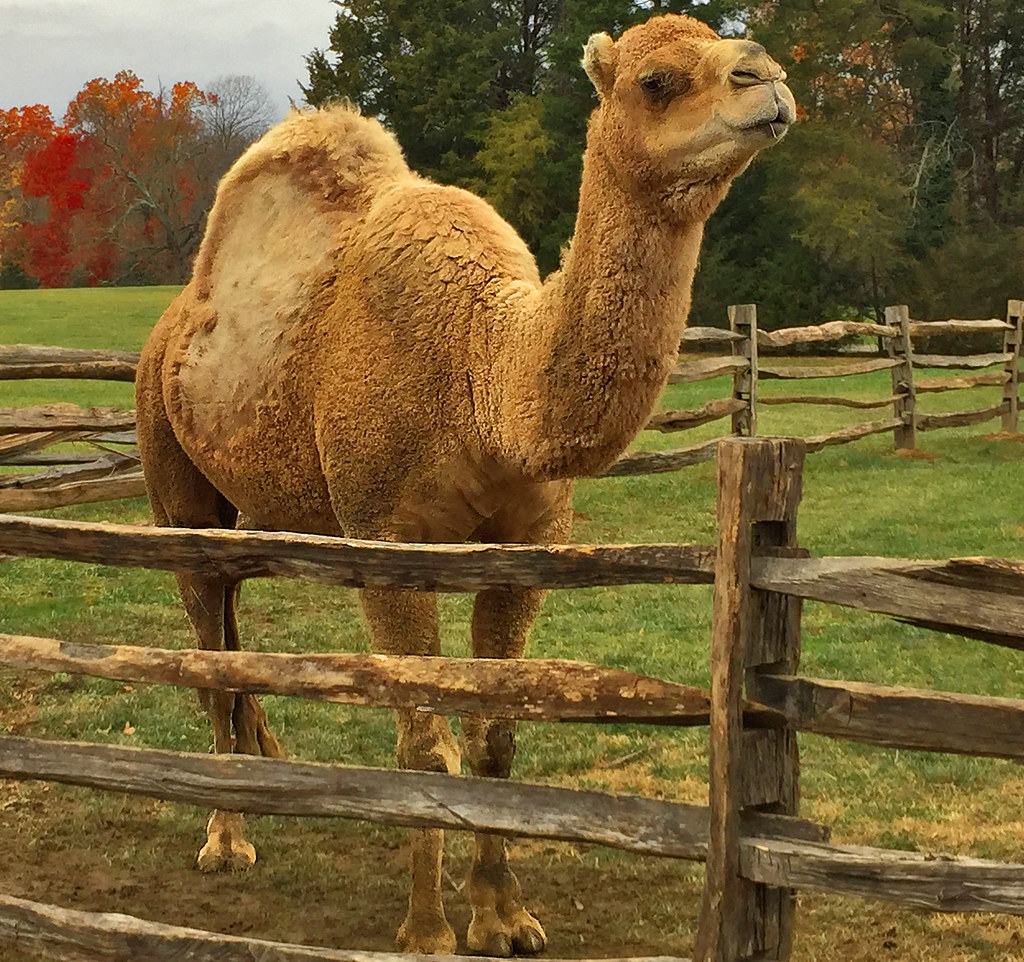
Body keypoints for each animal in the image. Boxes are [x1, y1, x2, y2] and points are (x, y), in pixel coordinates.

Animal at [135, 13, 795, 956]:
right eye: (657, 79)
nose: (765, 77)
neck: (485, 372)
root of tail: (172, 326)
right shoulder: (384, 541)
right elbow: (425, 744)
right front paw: (427, 930)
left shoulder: (526, 546)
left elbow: (496, 735)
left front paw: (505, 916)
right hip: (174, 478)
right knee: (210, 652)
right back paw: (227, 838)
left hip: (256, 510)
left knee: (234, 635)